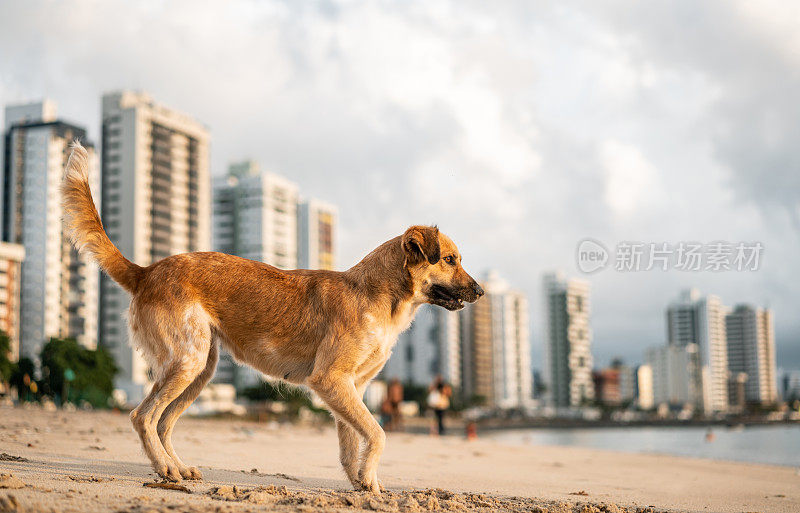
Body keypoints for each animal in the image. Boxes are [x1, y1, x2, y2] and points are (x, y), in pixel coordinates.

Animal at [61, 141, 482, 492]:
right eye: (449, 260)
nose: (480, 292)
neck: (377, 296)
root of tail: (146, 271)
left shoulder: (352, 387)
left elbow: (351, 443)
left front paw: (365, 484)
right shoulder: (330, 380)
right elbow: (377, 433)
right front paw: (369, 479)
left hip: (200, 369)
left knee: (163, 422)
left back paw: (176, 468)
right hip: (186, 361)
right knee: (143, 417)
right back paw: (165, 468)